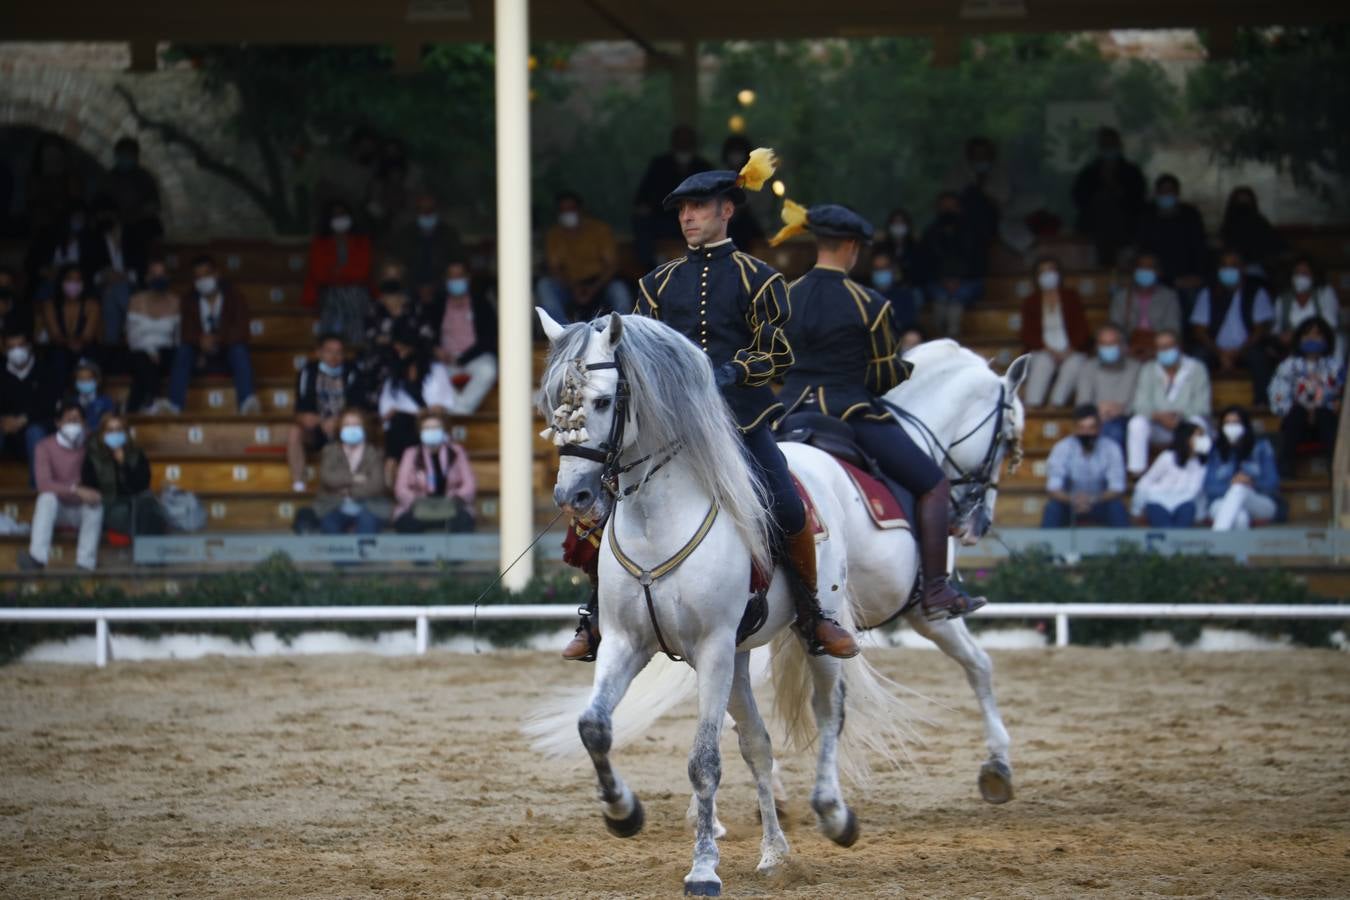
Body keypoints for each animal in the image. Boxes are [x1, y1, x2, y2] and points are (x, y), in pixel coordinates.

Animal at [531, 310, 923, 895]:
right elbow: (594, 727)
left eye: (601, 402)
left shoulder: (712, 648)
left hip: (803, 641)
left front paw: (702, 869)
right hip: (738, 659)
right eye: (555, 400)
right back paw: (774, 851)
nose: (572, 496)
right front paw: (623, 813)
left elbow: (704, 761)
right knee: (758, 744)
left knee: (828, 713)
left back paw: (834, 816)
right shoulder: (626, 642)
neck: (656, 519)